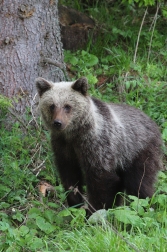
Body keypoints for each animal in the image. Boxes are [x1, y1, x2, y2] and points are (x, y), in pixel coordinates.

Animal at [35, 76, 162, 215]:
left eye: (67, 106)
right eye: (52, 106)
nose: (57, 122)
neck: (74, 135)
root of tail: (152, 122)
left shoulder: (97, 146)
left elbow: (101, 181)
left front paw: (93, 211)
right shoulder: (63, 147)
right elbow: (70, 177)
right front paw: (75, 205)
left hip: (137, 151)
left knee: (139, 184)